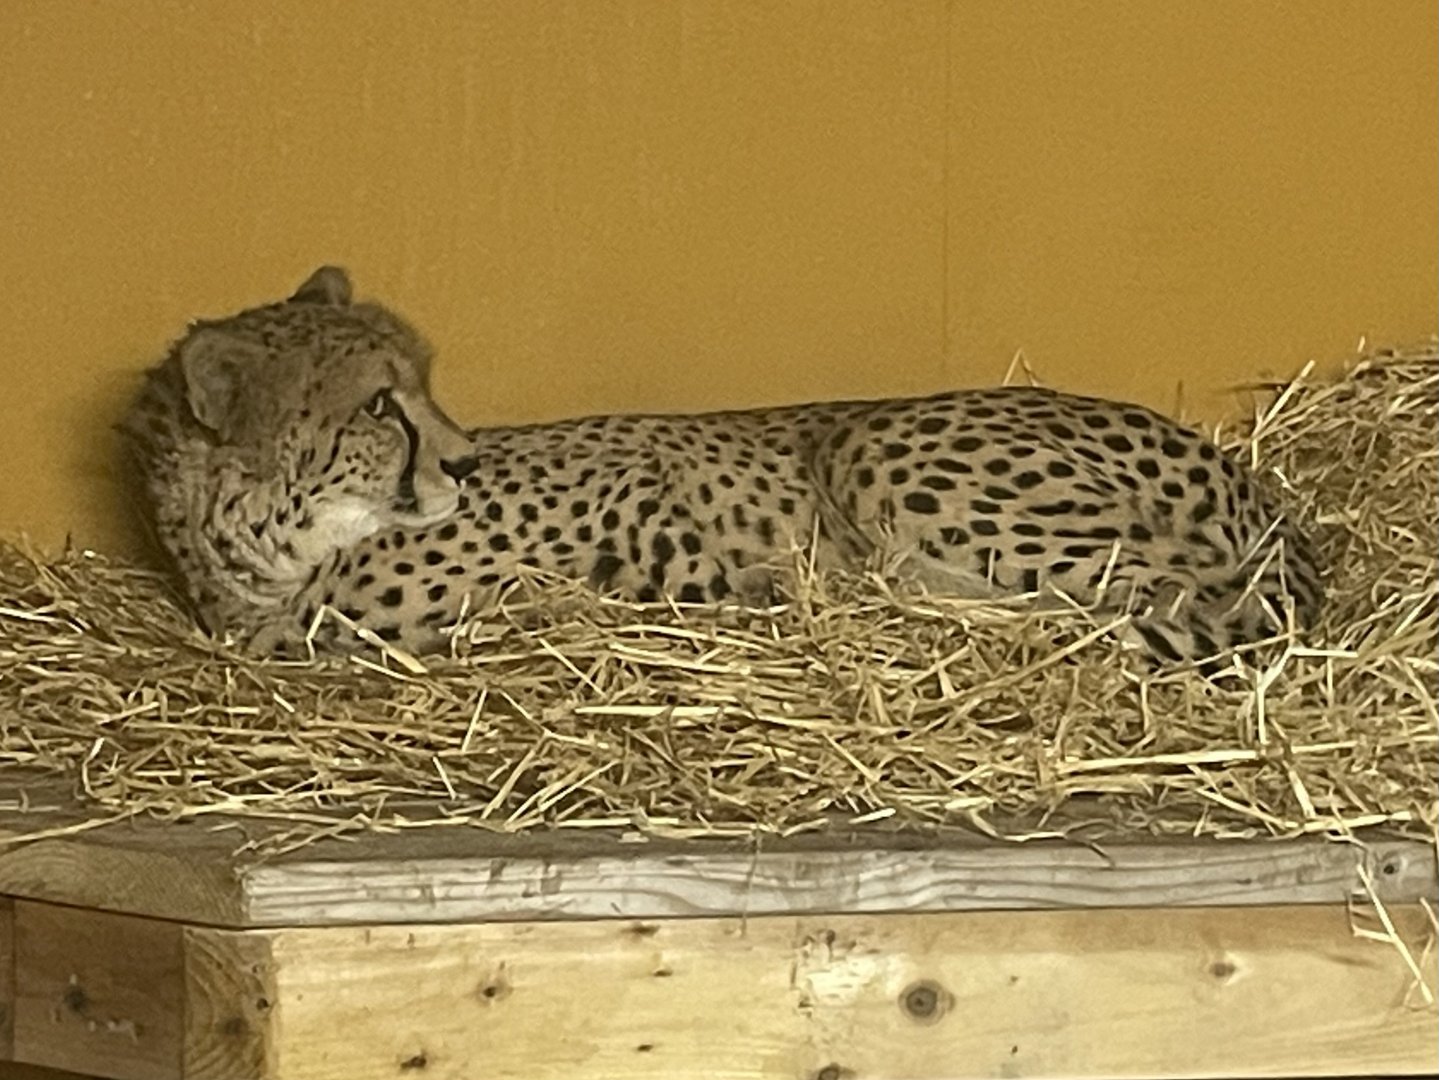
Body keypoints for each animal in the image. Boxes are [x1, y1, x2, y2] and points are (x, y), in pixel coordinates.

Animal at [121, 266, 1322, 667]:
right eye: (379, 404)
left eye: (420, 379)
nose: (463, 462)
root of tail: (1252, 479)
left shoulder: (651, 484)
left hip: (878, 449)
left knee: (1169, 593)